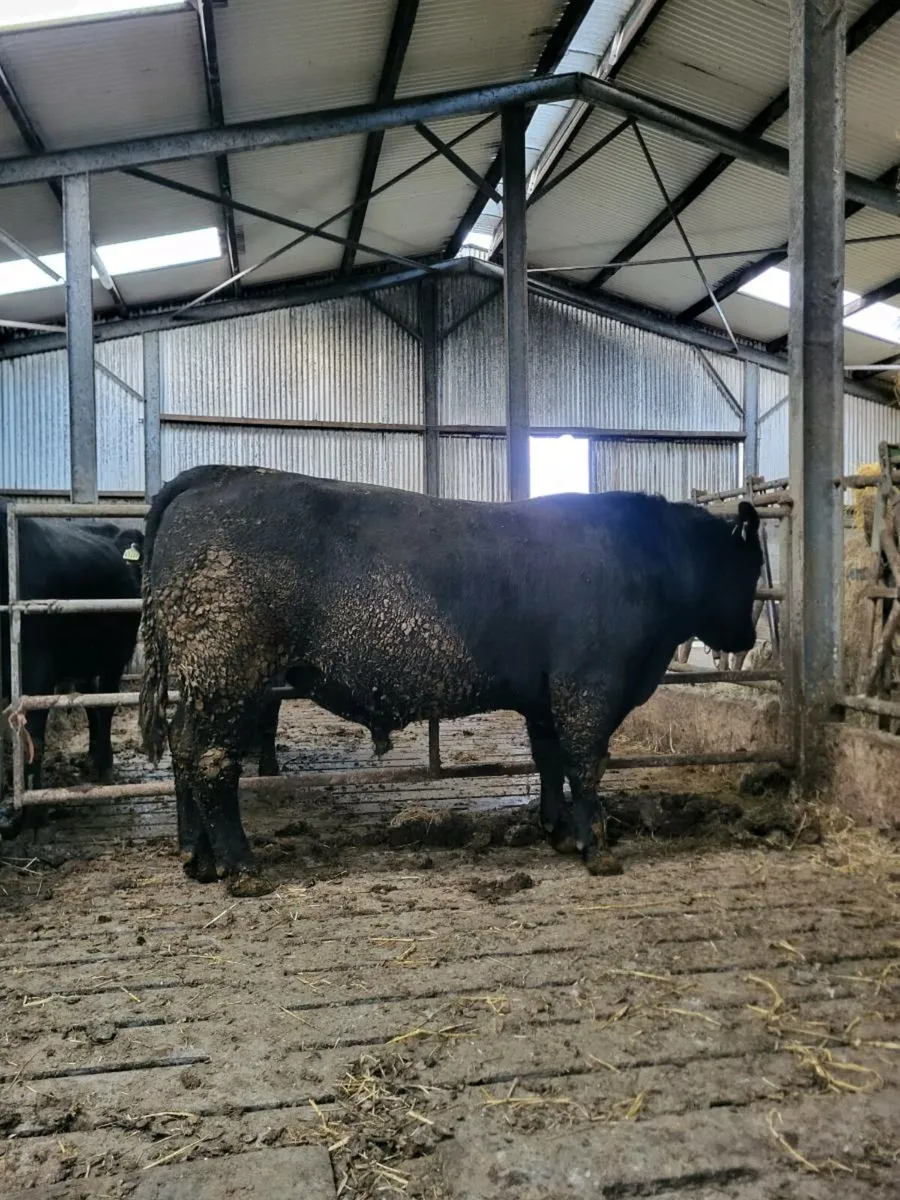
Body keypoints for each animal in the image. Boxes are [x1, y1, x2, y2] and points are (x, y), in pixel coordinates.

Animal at [0, 508, 144, 827]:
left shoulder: (37, 665)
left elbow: (34, 737)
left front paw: (33, 813)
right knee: (91, 705)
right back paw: (92, 753)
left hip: (115, 655)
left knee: (106, 706)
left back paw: (104, 763)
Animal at [138, 464, 763, 891]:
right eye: (749, 566)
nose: (746, 639)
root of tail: (219, 475)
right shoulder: (590, 685)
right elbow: (586, 763)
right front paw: (598, 850)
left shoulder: (544, 697)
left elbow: (549, 759)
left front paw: (558, 831)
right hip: (228, 669)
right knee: (210, 758)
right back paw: (241, 866)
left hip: (205, 680)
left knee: (184, 749)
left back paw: (197, 858)